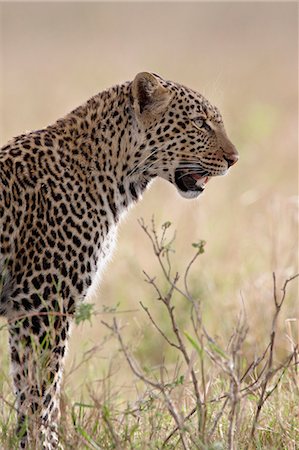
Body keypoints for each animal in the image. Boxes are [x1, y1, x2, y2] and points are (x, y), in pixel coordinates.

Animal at [0, 72, 239, 448]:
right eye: (200, 123)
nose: (234, 158)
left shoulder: (33, 309)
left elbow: (34, 392)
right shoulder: (41, 305)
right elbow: (41, 394)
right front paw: (43, 444)